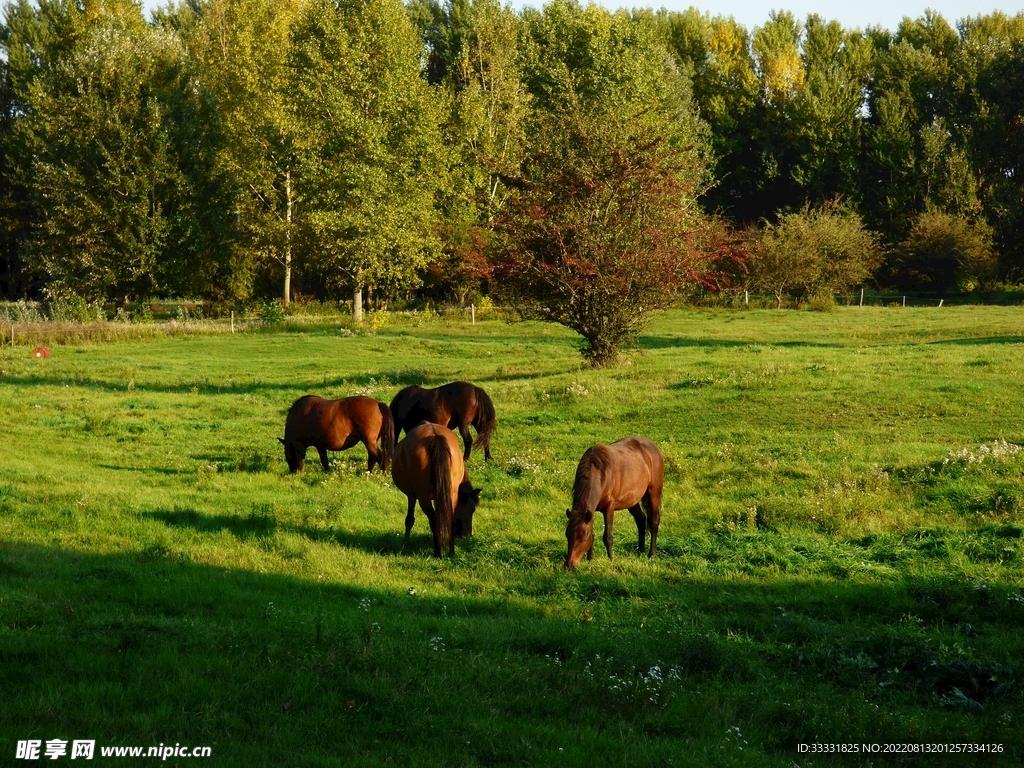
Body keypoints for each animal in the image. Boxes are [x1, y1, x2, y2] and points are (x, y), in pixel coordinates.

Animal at [391, 421, 481, 558]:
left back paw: (437, 552)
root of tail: (434, 436)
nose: (466, 536)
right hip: (449, 495)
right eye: (473, 509)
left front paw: (405, 542)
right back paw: (450, 552)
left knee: (434, 521)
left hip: (424, 498)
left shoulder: (412, 496)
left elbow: (410, 519)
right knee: (448, 519)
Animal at [564, 436, 664, 569]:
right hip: (632, 500)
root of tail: (653, 446)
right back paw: (640, 551)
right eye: (567, 534)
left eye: (583, 537)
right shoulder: (591, 511)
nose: (569, 565)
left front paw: (611, 560)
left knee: (653, 521)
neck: (601, 474)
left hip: (654, 493)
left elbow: (608, 537)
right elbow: (593, 533)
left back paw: (651, 554)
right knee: (641, 519)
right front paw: (590, 559)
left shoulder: (609, 508)